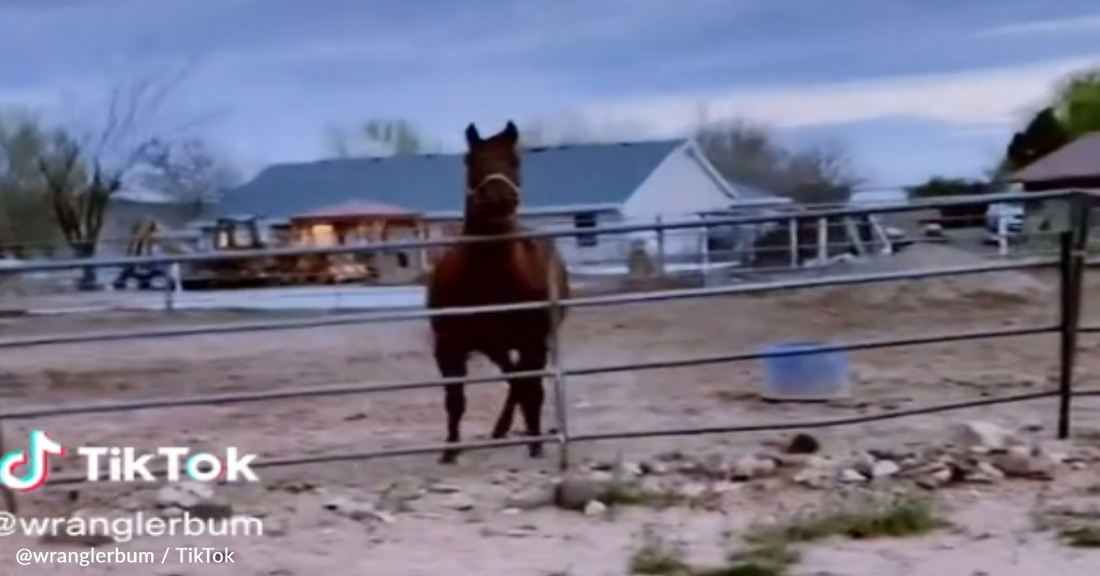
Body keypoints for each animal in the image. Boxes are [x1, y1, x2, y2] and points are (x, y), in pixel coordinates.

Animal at [424, 120, 572, 463]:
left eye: (516, 161)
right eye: (470, 160)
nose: (499, 199)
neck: (490, 278)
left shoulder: (533, 342)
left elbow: (531, 391)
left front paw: (536, 444)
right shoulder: (448, 346)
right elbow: (455, 399)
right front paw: (450, 450)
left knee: (522, 382)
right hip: (494, 346)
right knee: (512, 376)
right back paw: (501, 429)